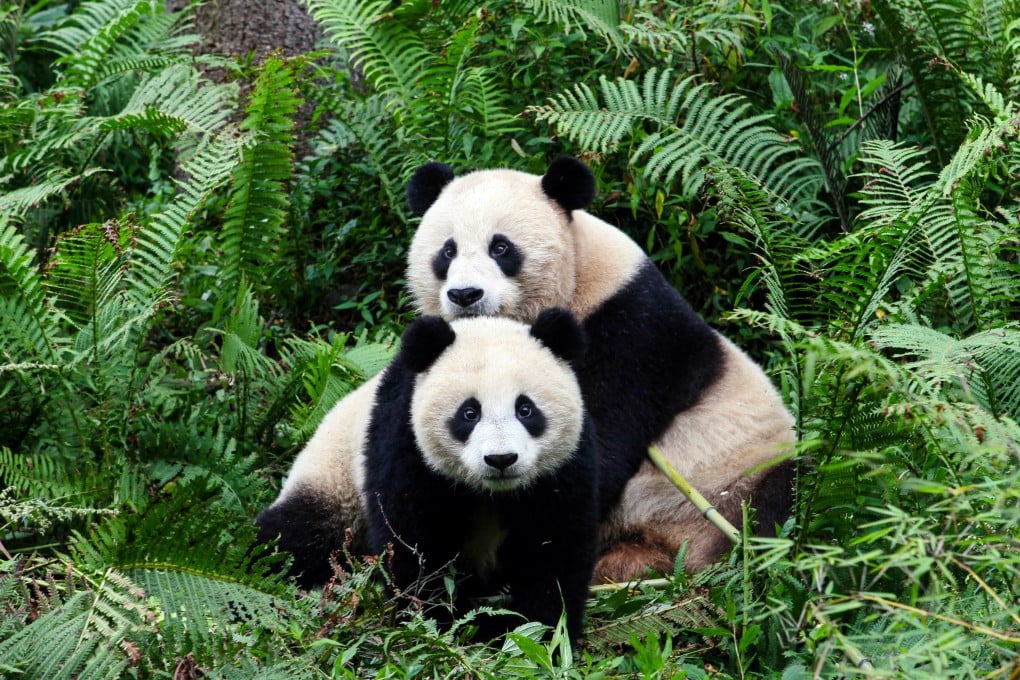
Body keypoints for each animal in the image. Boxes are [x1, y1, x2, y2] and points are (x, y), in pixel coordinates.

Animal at [364, 309, 598, 644]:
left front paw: (540, 630)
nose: (501, 459)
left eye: (525, 409)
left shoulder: (563, 469)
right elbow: (413, 543)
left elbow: (556, 545)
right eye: (469, 413)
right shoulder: (407, 450)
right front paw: (440, 626)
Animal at [405, 156, 796, 583]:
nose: (464, 295)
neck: (578, 284)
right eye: (447, 251)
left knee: (778, 505)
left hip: (743, 470)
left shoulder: (631, 334)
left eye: (501, 247)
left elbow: (597, 439)